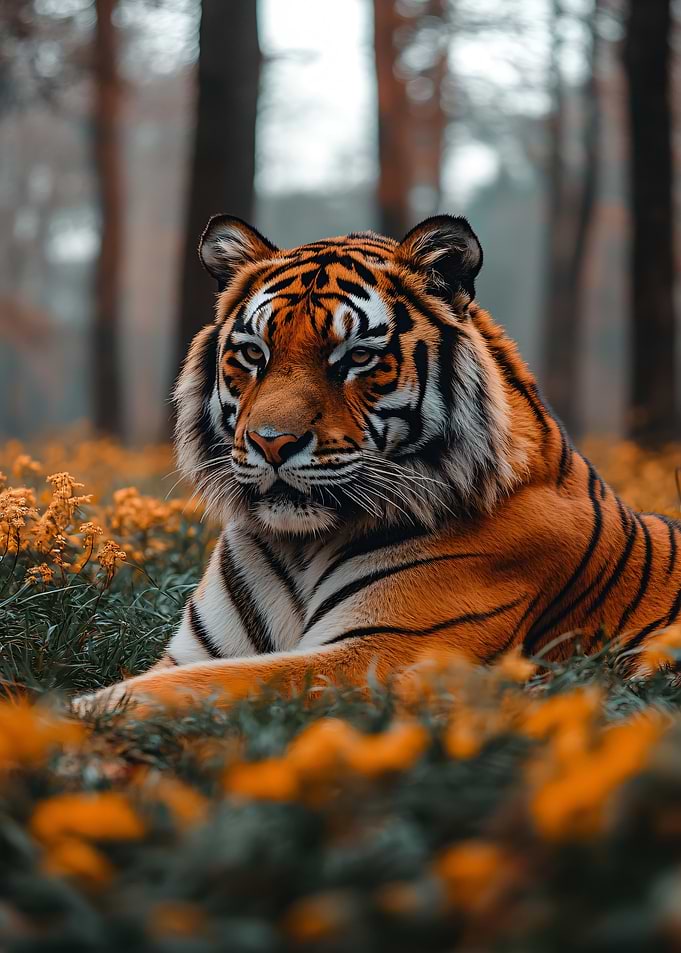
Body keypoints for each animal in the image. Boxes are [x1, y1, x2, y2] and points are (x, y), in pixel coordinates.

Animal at [77, 213, 681, 713]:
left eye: (358, 358)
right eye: (253, 354)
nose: (272, 444)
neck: (299, 547)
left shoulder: (388, 651)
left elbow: (185, 689)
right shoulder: (195, 649)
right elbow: (169, 678)